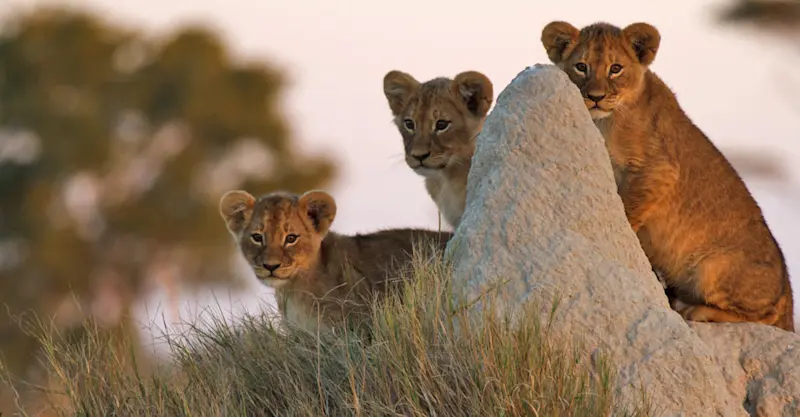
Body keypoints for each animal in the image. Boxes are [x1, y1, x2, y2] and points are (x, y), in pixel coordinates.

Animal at [541, 20, 794, 331]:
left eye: (615, 68)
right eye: (581, 66)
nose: (595, 97)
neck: (606, 122)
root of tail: (788, 296)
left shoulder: (659, 169)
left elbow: (628, 210)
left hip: (713, 268)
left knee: (762, 317)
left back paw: (694, 310)